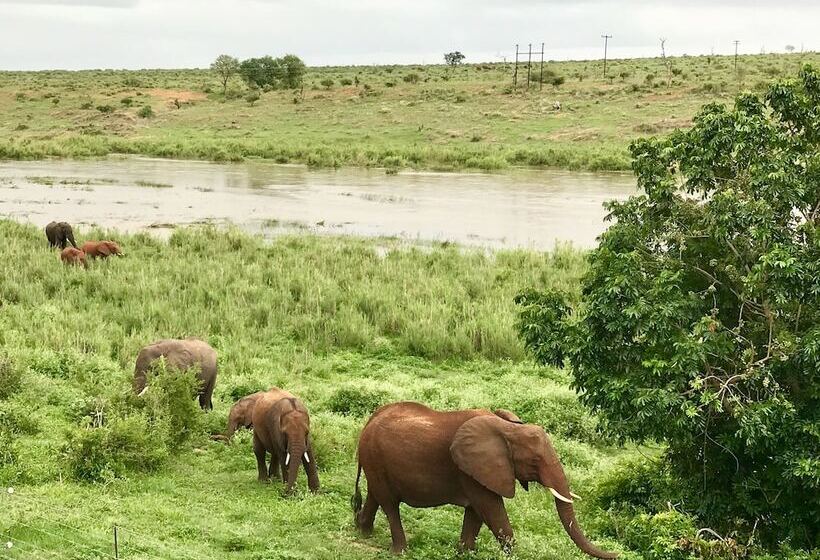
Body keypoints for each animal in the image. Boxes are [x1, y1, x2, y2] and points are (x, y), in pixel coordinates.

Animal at [352, 402, 617, 558]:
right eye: (535, 461)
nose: (616, 554)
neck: (508, 428)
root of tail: (369, 420)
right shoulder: (470, 469)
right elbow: (492, 510)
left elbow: (476, 514)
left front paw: (465, 554)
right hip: (375, 456)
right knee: (390, 504)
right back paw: (400, 551)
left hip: (374, 460)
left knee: (376, 494)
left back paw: (362, 531)